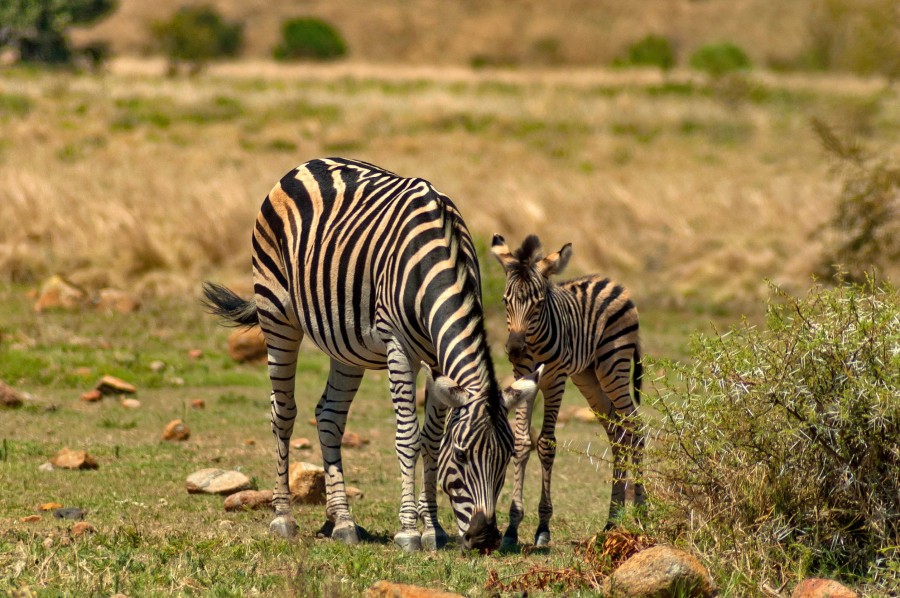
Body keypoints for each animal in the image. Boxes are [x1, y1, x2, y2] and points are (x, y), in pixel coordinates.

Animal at [204, 158, 540, 552]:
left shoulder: (436, 358)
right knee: (282, 414)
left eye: (507, 456)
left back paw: (342, 521)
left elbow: (431, 437)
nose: (485, 538)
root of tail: (306, 164)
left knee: (329, 416)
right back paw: (283, 518)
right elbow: (408, 437)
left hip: (345, 344)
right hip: (277, 313)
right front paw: (409, 531)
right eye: (460, 455)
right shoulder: (399, 348)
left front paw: (433, 529)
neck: (438, 260)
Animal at [488, 233, 644, 548]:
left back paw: (641, 515)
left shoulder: (555, 379)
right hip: (588, 377)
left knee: (635, 427)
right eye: (505, 301)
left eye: (537, 303)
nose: (514, 348)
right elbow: (522, 443)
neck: (533, 342)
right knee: (618, 432)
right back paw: (612, 520)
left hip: (613, 365)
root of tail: (611, 281)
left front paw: (543, 528)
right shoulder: (523, 375)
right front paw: (512, 528)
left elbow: (546, 445)